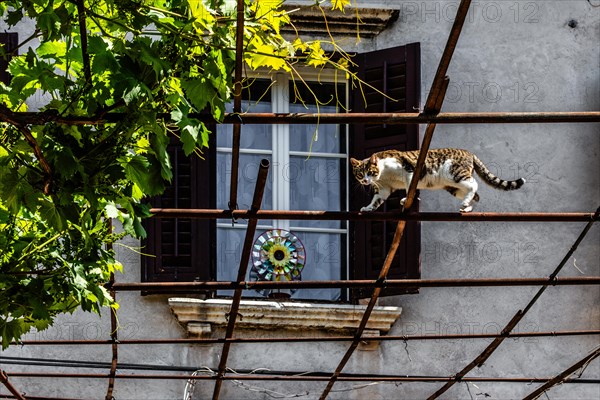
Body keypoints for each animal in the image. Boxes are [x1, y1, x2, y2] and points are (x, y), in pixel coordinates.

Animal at [352, 148, 524, 212]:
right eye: (360, 174)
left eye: (370, 172)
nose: (366, 181)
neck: (382, 174)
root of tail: (469, 152)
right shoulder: (384, 188)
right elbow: (377, 200)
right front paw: (368, 208)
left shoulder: (409, 170)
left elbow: (409, 187)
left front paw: (406, 199)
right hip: (453, 187)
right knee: (476, 195)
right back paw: (467, 207)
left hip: (455, 173)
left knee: (474, 184)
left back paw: (465, 203)